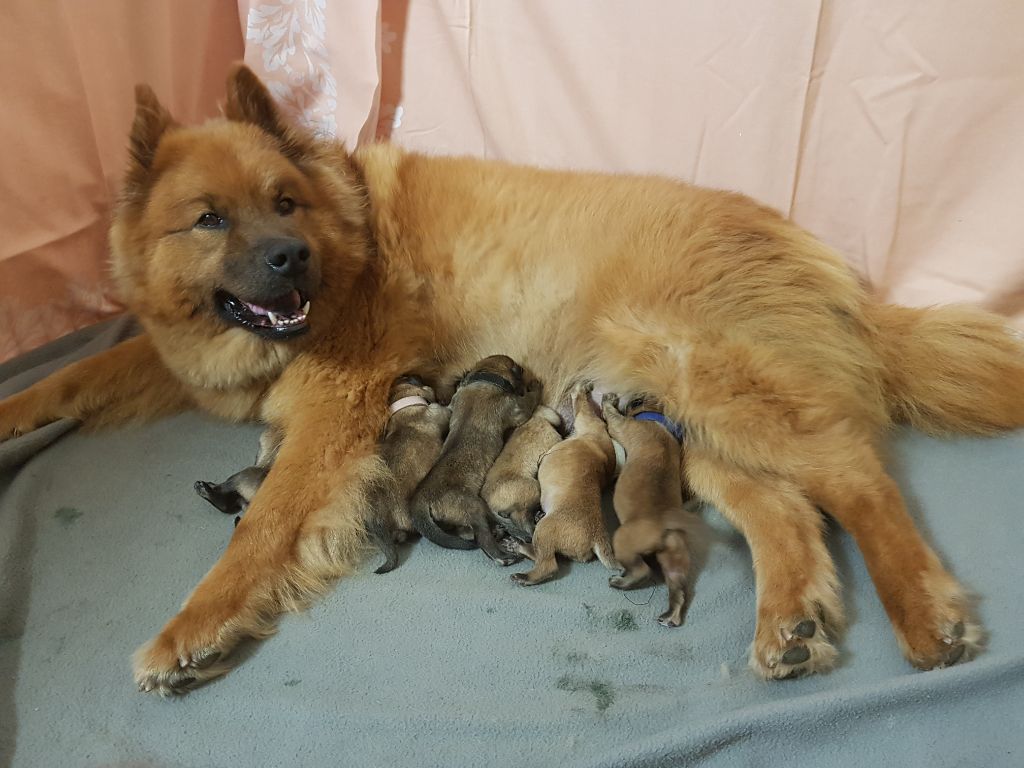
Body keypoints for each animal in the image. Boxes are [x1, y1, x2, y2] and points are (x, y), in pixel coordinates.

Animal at [407, 354, 536, 565]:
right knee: (482, 538)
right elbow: (531, 400)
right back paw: (503, 556)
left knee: (469, 532)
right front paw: (536, 385)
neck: (484, 379)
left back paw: (500, 532)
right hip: (474, 507)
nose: (526, 372)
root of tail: (420, 500)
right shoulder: (518, 410)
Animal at [507, 385, 618, 589]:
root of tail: (597, 536)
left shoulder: (585, 417)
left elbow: (581, 403)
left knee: (547, 564)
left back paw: (523, 571)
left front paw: (580, 390)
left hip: (544, 531)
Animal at [598, 391, 696, 630]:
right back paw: (670, 617)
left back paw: (620, 582)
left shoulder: (620, 425)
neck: (657, 419)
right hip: (675, 559)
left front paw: (608, 400)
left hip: (623, 540)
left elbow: (612, 416)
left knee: (642, 571)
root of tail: (664, 525)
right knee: (678, 591)